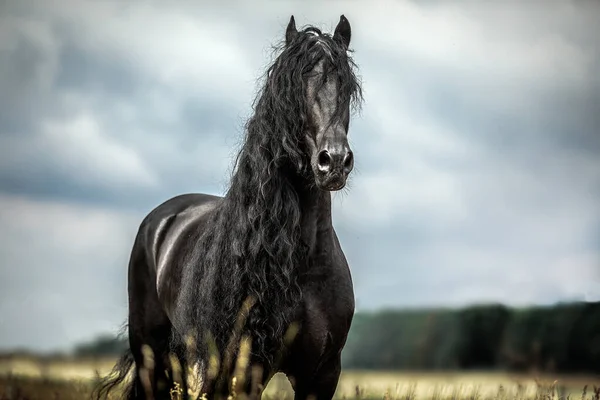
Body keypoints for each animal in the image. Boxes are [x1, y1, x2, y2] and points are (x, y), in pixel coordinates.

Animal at [95, 14, 360, 400]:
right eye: (294, 85)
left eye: (347, 85)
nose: (334, 161)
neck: (306, 263)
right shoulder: (245, 373)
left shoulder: (321, 376)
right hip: (151, 356)